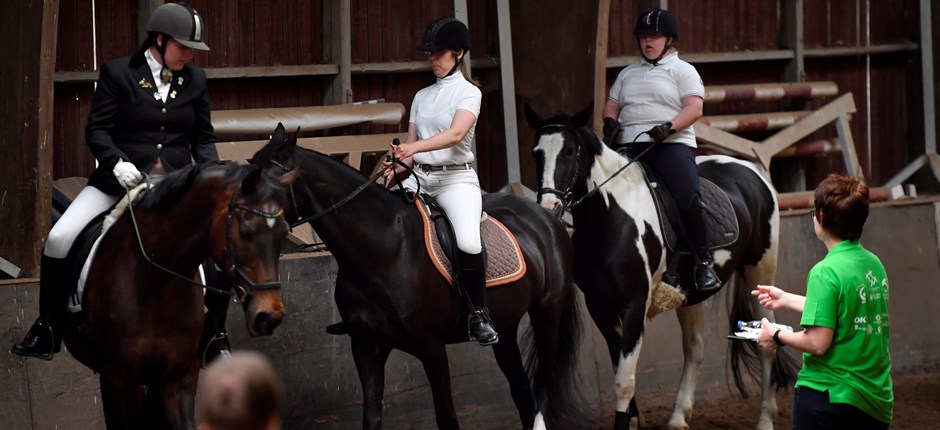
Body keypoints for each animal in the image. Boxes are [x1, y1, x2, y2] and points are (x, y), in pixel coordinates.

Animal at [60, 160, 296, 428]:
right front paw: (126, 173)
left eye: (283, 233)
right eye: (246, 231)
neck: (155, 283)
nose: (269, 316)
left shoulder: (178, 379)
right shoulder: (117, 380)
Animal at [253, 124, 592, 430]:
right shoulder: (366, 347)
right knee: (522, 392)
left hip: (547, 313)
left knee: (543, 387)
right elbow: (371, 418)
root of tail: (548, 217)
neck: (383, 249)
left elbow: (447, 418)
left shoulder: (432, 347)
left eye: (265, 183)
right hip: (505, 327)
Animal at [524, 104, 796, 430]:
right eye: (536, 152)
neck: (610, 217)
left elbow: (624, 381)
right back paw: (679, 416)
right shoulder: (599, 307)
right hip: (690, 293)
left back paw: (765, 420)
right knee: (695, 346)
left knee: (767, 346)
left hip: (760, 274)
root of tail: (751, 170)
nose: (549, 207)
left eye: (569, 151)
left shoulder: (634, 304)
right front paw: (633, 420)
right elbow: (620, 368)